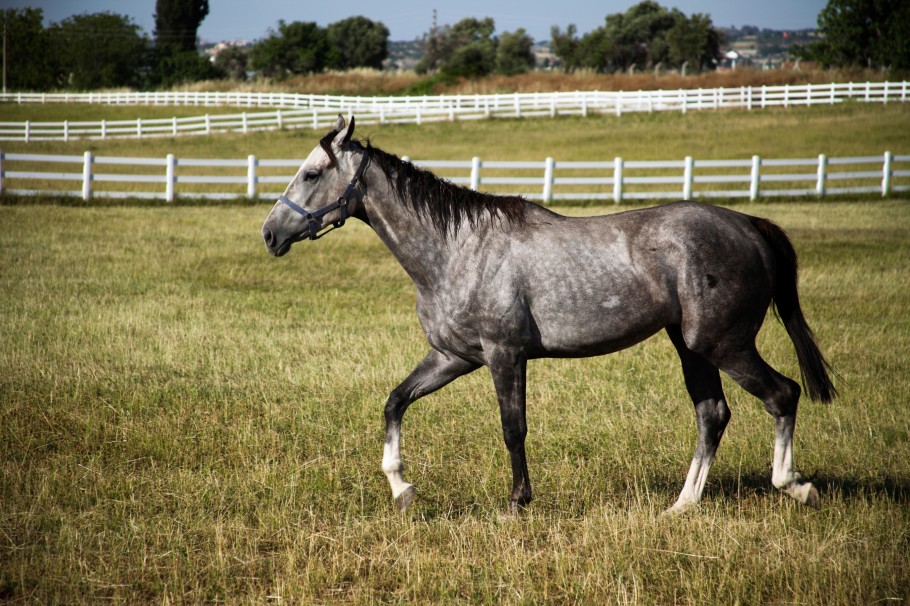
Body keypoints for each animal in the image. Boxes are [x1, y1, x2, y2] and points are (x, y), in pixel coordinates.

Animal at [260, 116, 836, 516]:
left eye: (312, 173)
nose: (270, 233)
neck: (457, 249)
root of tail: (749, 226)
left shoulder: (504, 355)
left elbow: (513, 427)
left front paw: (518, 501)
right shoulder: (452, 357)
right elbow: (395, 402)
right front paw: (402, 489)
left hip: (724, 344)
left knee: (782, 395)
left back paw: (795, 486)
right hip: (691, 347)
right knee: (712, 414)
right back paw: (682, 505)